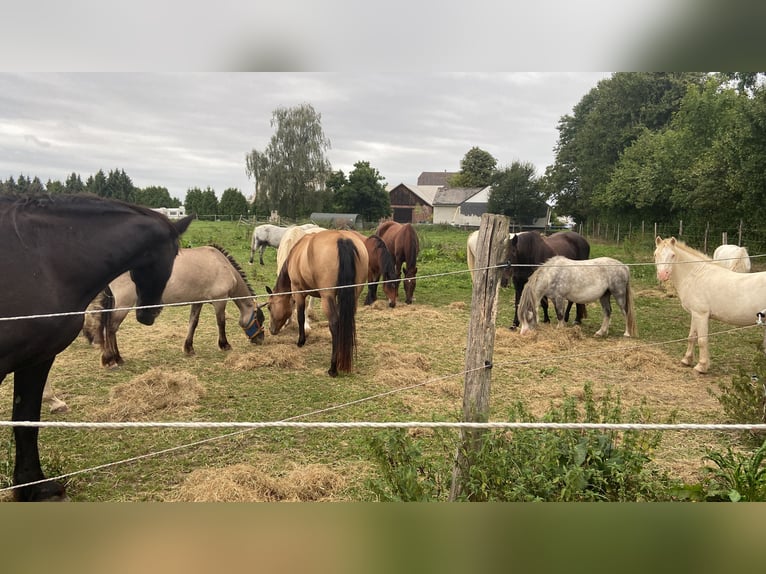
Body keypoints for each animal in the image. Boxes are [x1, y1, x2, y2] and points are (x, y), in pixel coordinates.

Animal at [0, 196, 192, 502]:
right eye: (174, 255)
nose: (149, 313)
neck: (44, 260)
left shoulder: (36, 359)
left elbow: (26, 420)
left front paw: (34, 487)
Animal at [268, 230, 368, 378]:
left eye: (269, 307)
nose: (271, 330)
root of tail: (343, 239)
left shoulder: (298, 291)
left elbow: (301, 316)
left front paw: (301, 340)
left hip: (327, 298)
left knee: (335, 324)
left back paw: (333, 368)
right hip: (354, 294)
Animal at [656, 236, 766, 376]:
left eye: (673, 255)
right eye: (656, 254)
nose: (662, 275)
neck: (696, 275)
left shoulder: (701, 315)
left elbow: (702, 340)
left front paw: (701, 366)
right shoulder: (695, 314)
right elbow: (691, 337)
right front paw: (686, 360)